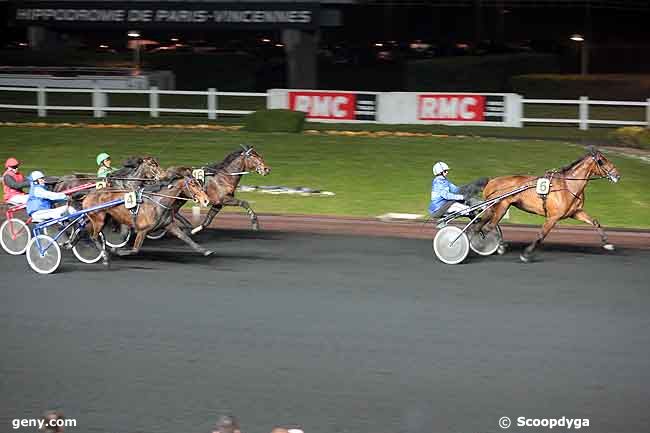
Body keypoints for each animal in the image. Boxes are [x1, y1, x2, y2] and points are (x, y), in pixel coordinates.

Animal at [81, 173, 210, 264]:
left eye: (199, 183)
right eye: (193, 184)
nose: (206, 200)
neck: (157, 202)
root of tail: (89, 194)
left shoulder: (169, 225)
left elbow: (185, 238)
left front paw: (204, 250)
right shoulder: (142, 230)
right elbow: (135, 249)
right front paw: (118, 251)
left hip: (106, 217)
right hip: (98, 219)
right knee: (94, 237)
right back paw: (104, 256)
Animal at [476, 148, 616, 262]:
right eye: (602, 161)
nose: (616, 174)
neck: (568, 185)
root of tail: (491, 181)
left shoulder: (576, 212)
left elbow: (595, 222)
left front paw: (607, 243)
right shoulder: (553, 217)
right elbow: (541, 235)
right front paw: (526, 254)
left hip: (493, 208)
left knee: (481, 225)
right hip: (501, 207)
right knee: (487, 227)